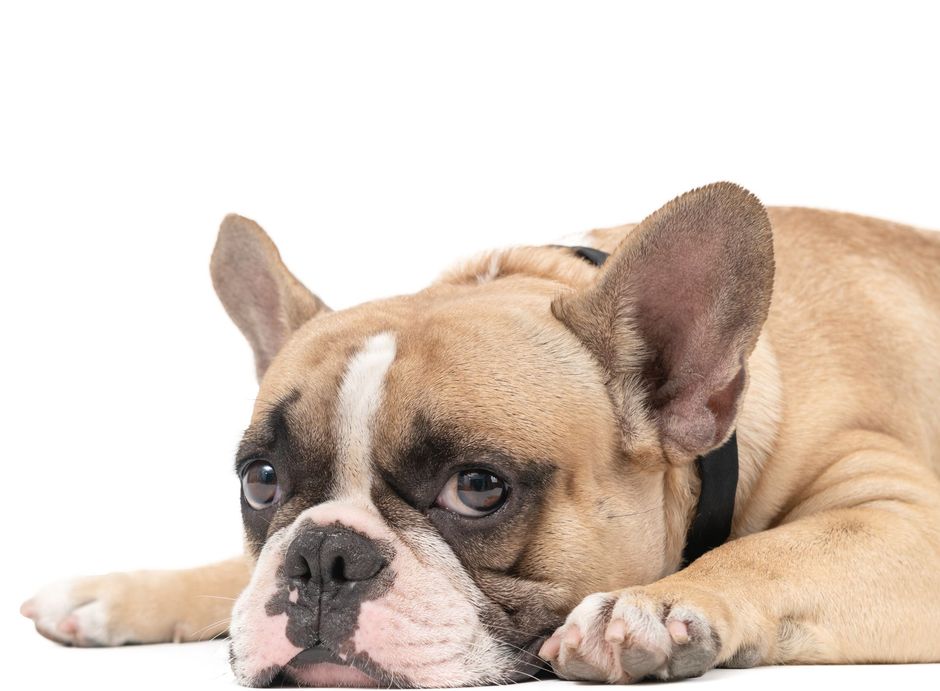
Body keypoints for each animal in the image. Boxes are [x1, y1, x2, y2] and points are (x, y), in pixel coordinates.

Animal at [20, 184, 940, 688]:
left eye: (477, 487)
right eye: (261, 479)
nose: (324, 555)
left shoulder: (903, 517)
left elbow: (771, 551)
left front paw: (646, 606)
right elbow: (236, 575)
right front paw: (122, 591)